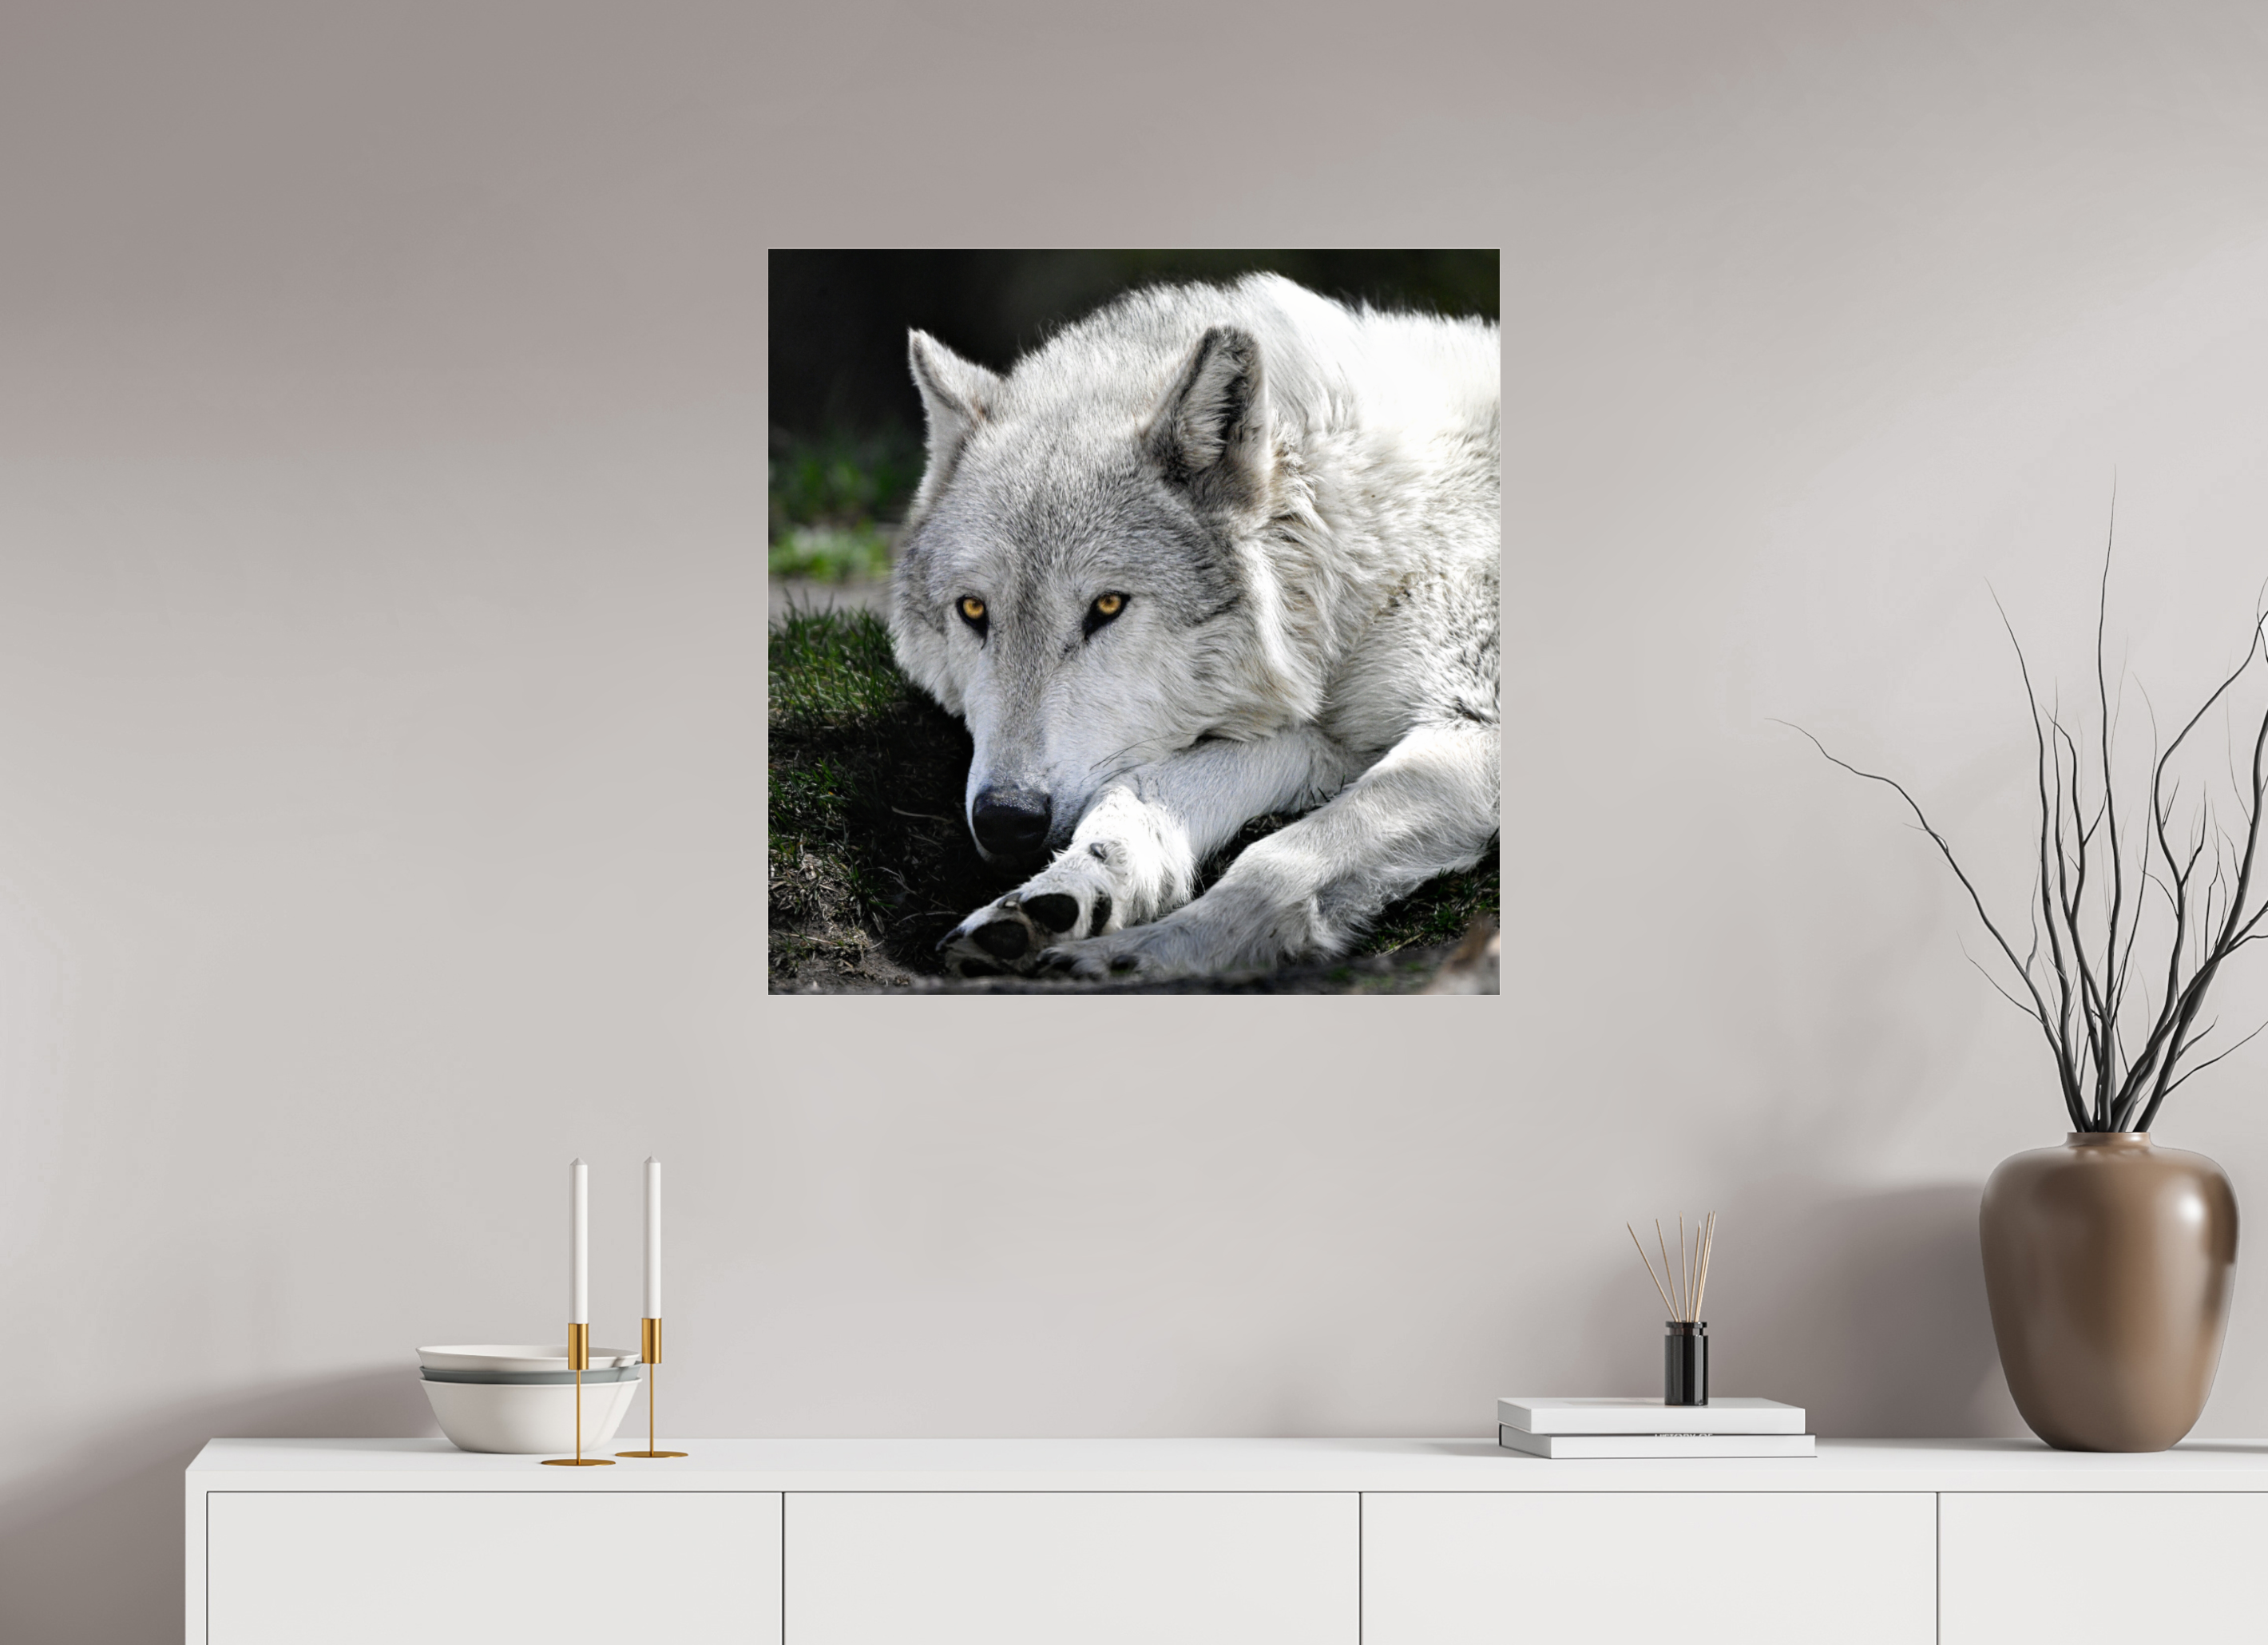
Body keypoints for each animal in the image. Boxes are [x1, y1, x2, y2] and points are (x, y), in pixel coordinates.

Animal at [888, 273, 1500, 981]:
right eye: (973, 611)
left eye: (1107, 606)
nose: (1005, 820)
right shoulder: (1329, 742)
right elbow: (1135, 791)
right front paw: (1066, 893)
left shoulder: (1473, 728)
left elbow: (1278, 857)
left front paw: (1143, 956)